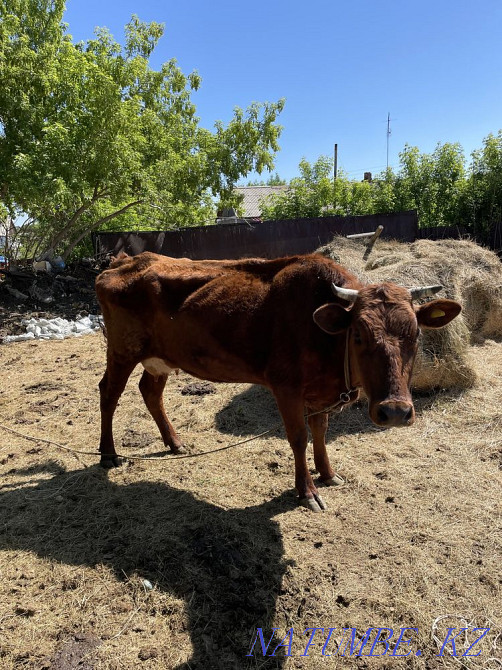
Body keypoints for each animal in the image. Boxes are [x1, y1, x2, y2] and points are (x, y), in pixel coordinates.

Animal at [95, 251, 461, 512]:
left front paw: (328, 474)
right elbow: (299, 437)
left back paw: (174, 442)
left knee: (150, 392)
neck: (326, 340)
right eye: (358, 335)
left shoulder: (320, 393)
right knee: (109, 394)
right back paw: (109, 454)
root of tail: (125, 261)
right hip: (122, 349)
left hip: (159, 358)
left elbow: (320, 432)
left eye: (415, 334)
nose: (395, 412)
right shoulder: (286, 387)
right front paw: (307, 491)